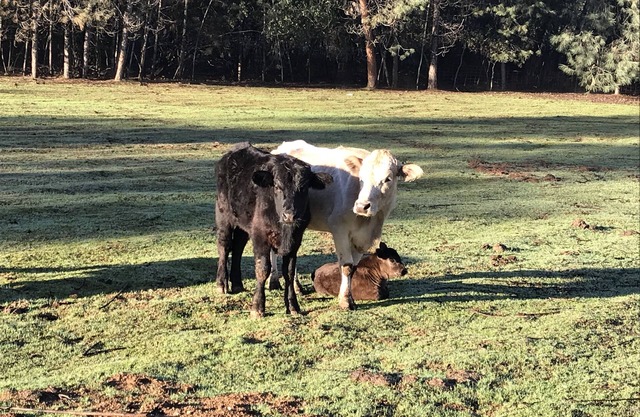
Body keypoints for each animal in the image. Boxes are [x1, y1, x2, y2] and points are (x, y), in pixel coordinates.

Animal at [215, 142, 332, 317]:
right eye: (277, 186)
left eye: (304, 187)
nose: (290, 215)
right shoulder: (260, 236)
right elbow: (262, 268)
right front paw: (258, 307)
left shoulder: (295, 241)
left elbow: (289, 272)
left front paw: (293, 305)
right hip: (224, 216)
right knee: (225, 245)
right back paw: (222, 283)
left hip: (243, 224)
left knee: (238, 248)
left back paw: (237, 284)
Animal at [270, 140, 423, 310]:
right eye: (361, 178)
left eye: (388, 179)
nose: (362, 206)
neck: (369, 221)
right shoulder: (340, 230)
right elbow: (347, 266)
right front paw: (345, 300)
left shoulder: (363, 239)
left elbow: (354, 267)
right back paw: (274, 281)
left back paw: (297, 287)